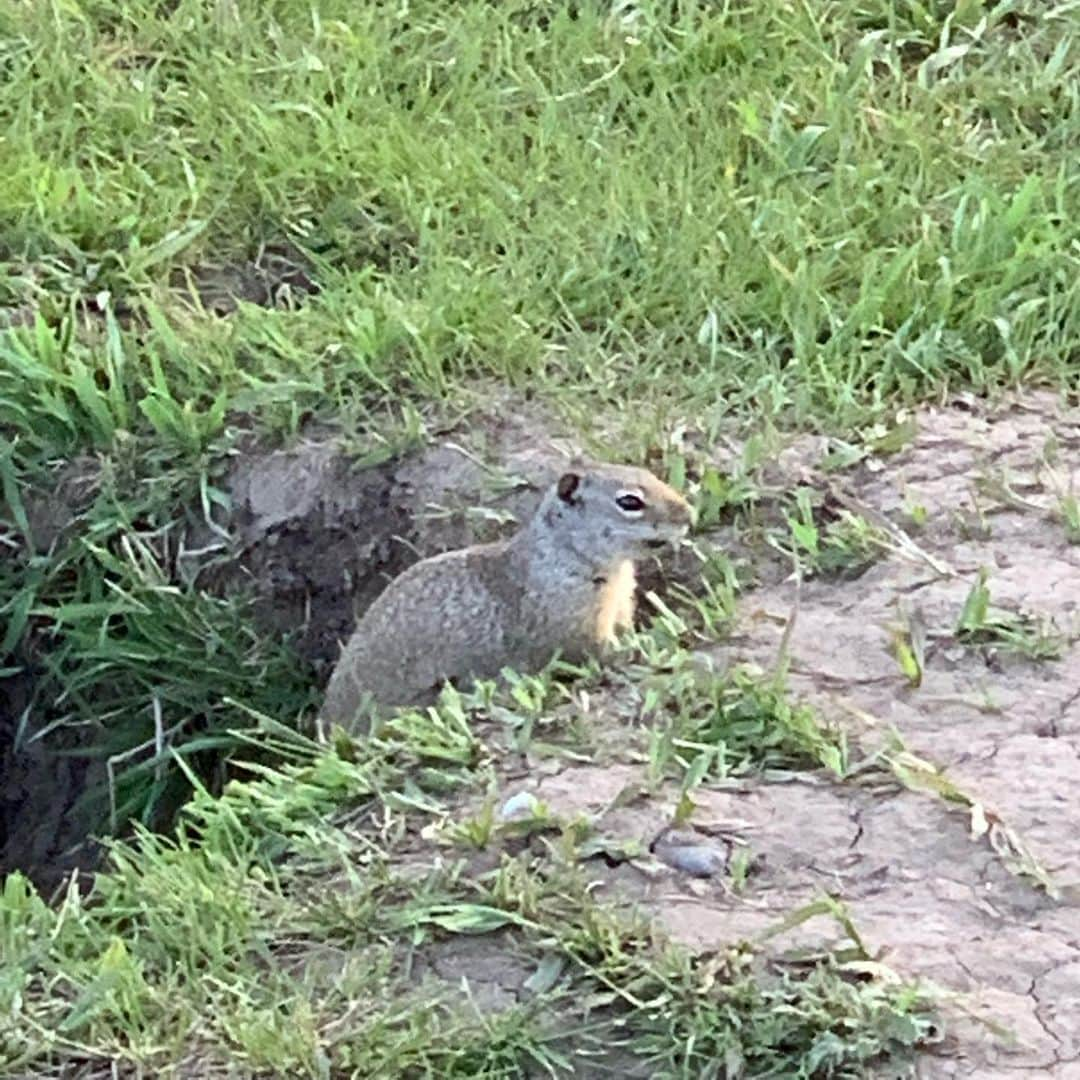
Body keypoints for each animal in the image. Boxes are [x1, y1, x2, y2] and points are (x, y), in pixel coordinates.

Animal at [319, 460, 691, 730]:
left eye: (651, 474)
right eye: (629, 501)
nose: (689, 514)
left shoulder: (618, 608)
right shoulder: (574, 623)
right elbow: (592, 651)